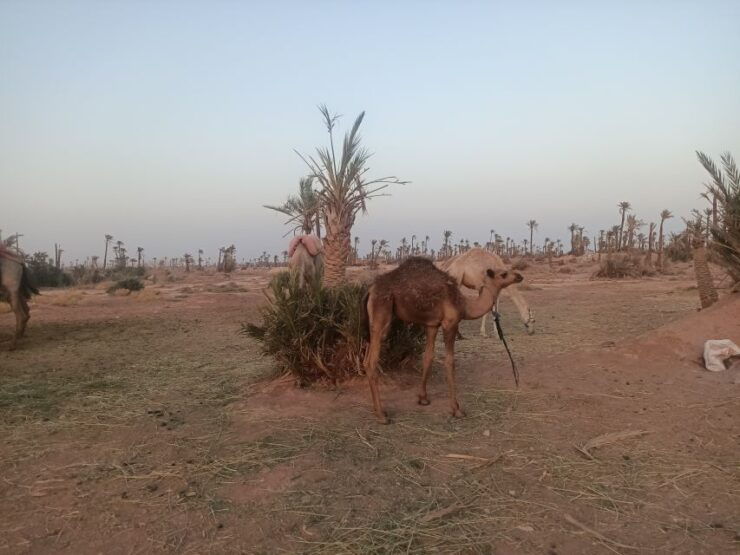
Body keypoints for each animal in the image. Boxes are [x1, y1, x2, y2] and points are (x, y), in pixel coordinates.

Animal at [363, 257, 523, 423]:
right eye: (503, 274)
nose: (519, 276)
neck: (464, 305)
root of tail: (370, 290)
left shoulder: (432, 325)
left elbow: (428, 357)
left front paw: (423, 398)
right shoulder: (450, 323)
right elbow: (450, 362)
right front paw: (456, 409)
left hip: (373, 321)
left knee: (367, 356)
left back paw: (378, 410)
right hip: (382, 311)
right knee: (371, 362)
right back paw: (381, 415)